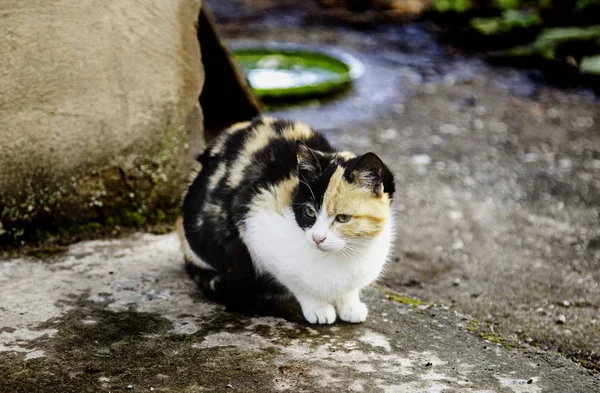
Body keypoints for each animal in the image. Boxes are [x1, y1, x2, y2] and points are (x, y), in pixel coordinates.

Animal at [178, 115, 394, 324]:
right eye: (309, 212)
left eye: (343, 218)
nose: (317, 238)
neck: (341, 257)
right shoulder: (253, 219)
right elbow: (295, 280)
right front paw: (318, 307)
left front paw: (350, 305)